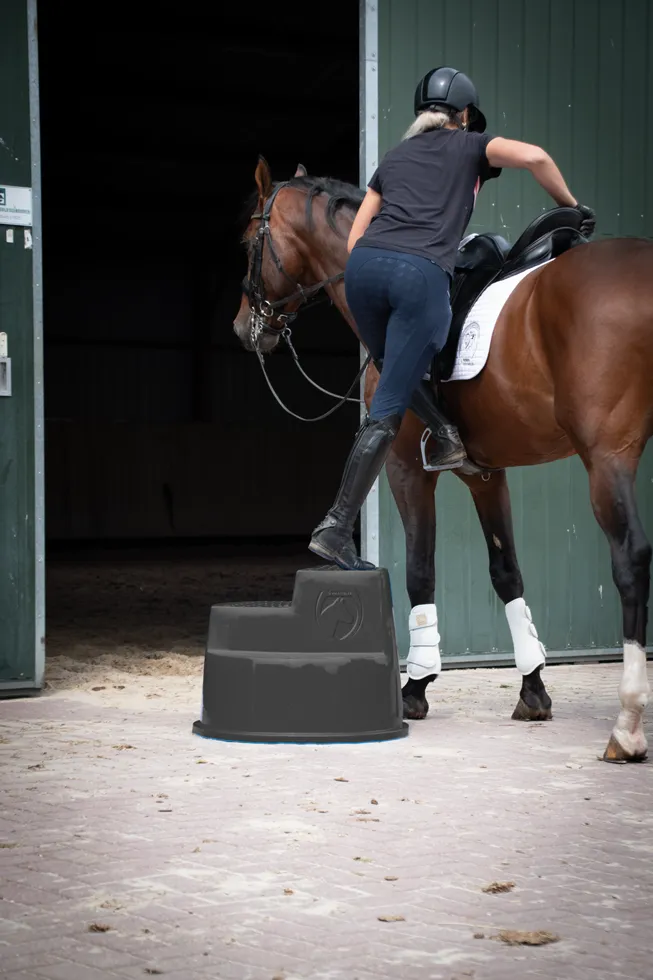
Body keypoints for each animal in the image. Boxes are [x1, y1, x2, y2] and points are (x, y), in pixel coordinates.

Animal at [233, 157, 653, 764]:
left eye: (249, 242)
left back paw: (627, 724)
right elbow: (507, 572)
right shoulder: (486, 475)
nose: (245, 328)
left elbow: (420, 571)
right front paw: (532, 687)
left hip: (607, 460)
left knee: (630, 561)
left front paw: (416, 684)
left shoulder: (406, 469)